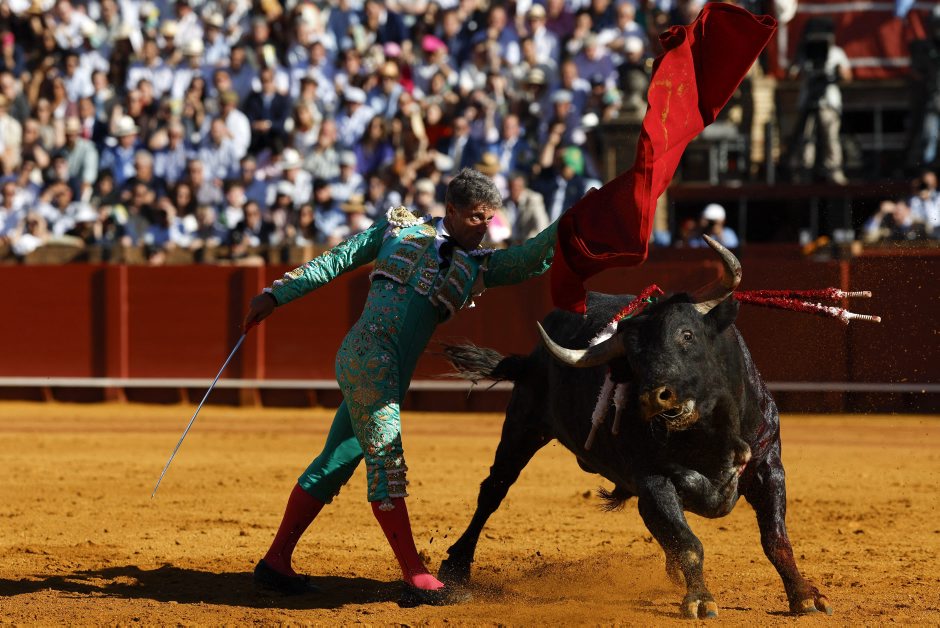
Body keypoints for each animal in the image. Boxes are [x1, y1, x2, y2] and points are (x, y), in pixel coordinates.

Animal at [437, 237, 832, 619]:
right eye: (633, 357)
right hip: (523, 425)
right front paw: (700, 599)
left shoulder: (769, 466)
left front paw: (805, 596)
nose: (654, 397)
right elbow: (688, 543)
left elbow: (776, 540)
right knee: (493, 490)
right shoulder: (654, 481)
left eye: (687, 335)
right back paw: (455, 569)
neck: (713, 434)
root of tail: (533, 357)